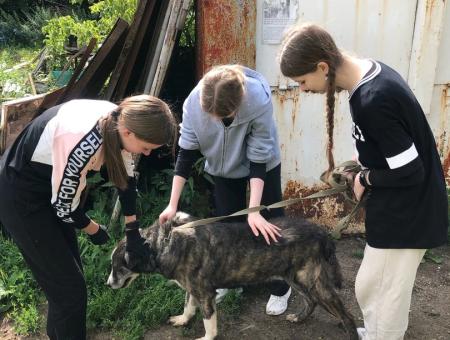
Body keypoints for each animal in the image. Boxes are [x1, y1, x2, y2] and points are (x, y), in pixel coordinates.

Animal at [107, 212, 356, 340]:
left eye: (118, 265)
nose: (108, 284)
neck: (166, 243)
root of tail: (322, 232)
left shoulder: (205, 294)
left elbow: (209, 323)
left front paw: (207, 338)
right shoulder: (192, 289)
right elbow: (188, 306)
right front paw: (183, 320)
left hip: (313, 282)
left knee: (347, 315)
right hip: (296, 278)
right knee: (310, 301)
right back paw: (299, 317)